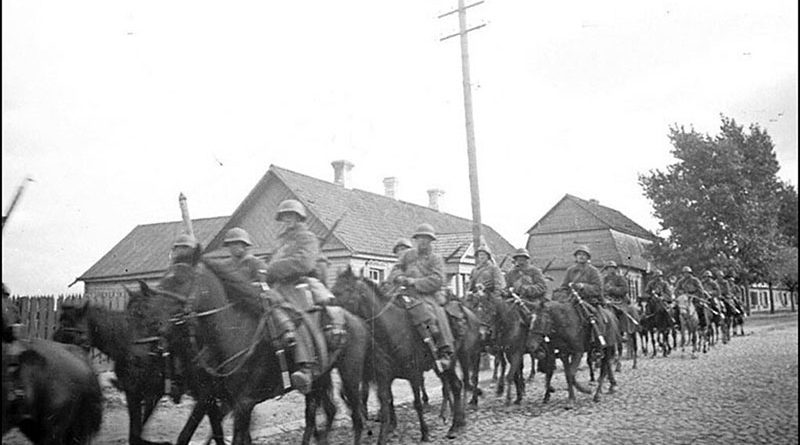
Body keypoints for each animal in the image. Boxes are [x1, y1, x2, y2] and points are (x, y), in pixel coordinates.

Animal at [53, 296, 227, 444]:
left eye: (70, 331)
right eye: (59, 328)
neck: (130, 341)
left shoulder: (138, 393)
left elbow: (137, 435)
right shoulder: (147, 394)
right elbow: (136, 433)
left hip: (206, 392)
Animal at [142, 260, 368, 444]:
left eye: (179, 280)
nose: (152, 321)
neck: (233, 334)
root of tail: (355, 320)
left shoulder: (243, 404)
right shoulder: (217, 400)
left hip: (349, 376)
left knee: (355, 417)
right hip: (319, 379)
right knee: (321, 414)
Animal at [332, 268, 468, 444]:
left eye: (347, 290)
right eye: (334, 290)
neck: (391, 328)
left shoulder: (414, 374)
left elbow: (417, 403)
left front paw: (425, 433)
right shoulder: (383, 377)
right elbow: (386, 404)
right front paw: (386, 434)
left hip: (448, 362)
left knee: (455, 386)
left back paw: (454, 425)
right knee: (453, 386)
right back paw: (456, 421)